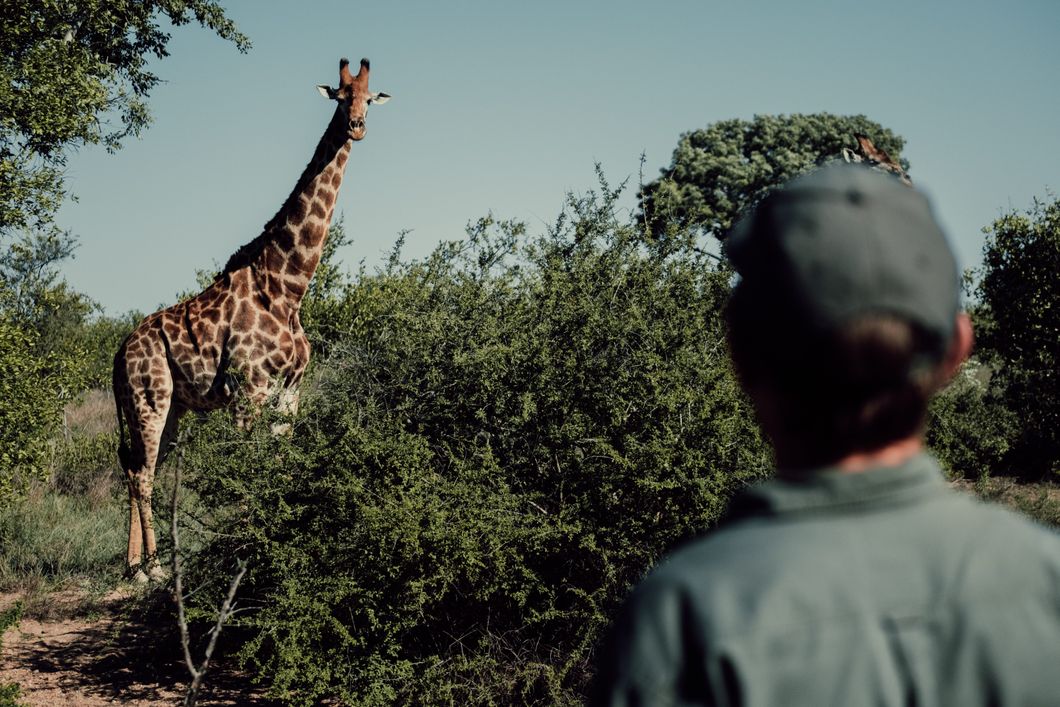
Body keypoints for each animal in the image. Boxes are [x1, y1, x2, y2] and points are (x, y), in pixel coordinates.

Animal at [112, 57, 390, 583]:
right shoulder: (249, 389)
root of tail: (117, 357)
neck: (288, 287)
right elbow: (245, 471)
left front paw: (274, 546)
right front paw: (244, 553)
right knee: (142, 473)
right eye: (340, 97)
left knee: (137, 467)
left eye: (369, 98)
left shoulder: (290, 390)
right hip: (149, 397)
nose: (357, 126)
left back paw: (133, 565)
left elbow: (279, 464)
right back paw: (153, 570)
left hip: (169, 407)